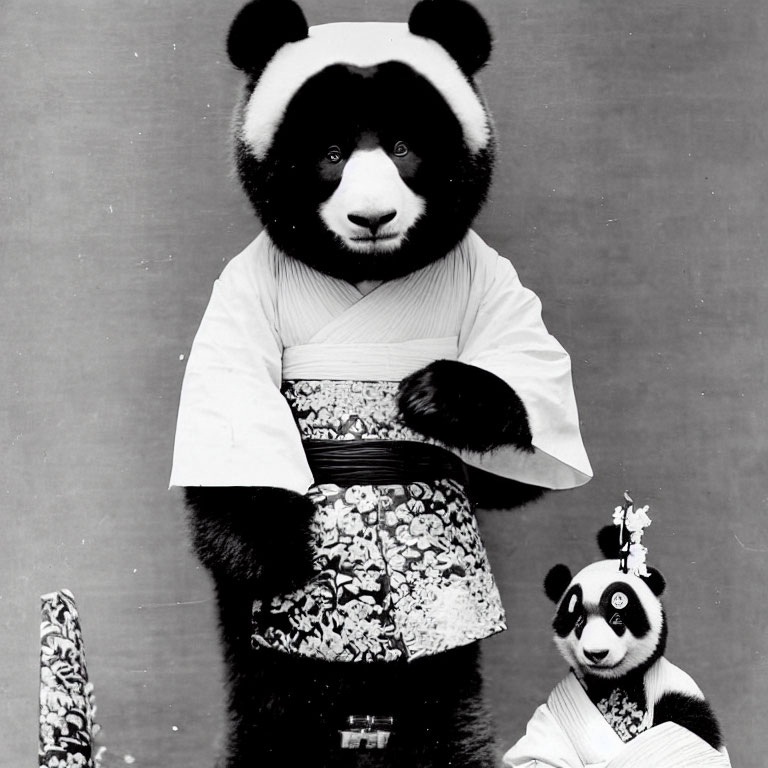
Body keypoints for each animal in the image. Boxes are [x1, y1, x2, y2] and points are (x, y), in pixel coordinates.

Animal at [172, 1, 592, 768]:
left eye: (401, 148)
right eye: (332, 154)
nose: (372, 217)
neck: (367, 274)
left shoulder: (490, 277)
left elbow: (521, 412)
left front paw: (435, 398)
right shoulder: (242, 290)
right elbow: (235, 412)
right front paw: (274, 549)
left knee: (444, 706)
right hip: (265, 659)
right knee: (272, 701)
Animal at [504, 528, 732, 768]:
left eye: (616, 618)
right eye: (579, 622)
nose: (596, 653)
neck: (615, 683)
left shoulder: (680, 694)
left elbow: (686, 739)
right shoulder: (548, 715)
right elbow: (533, 757)